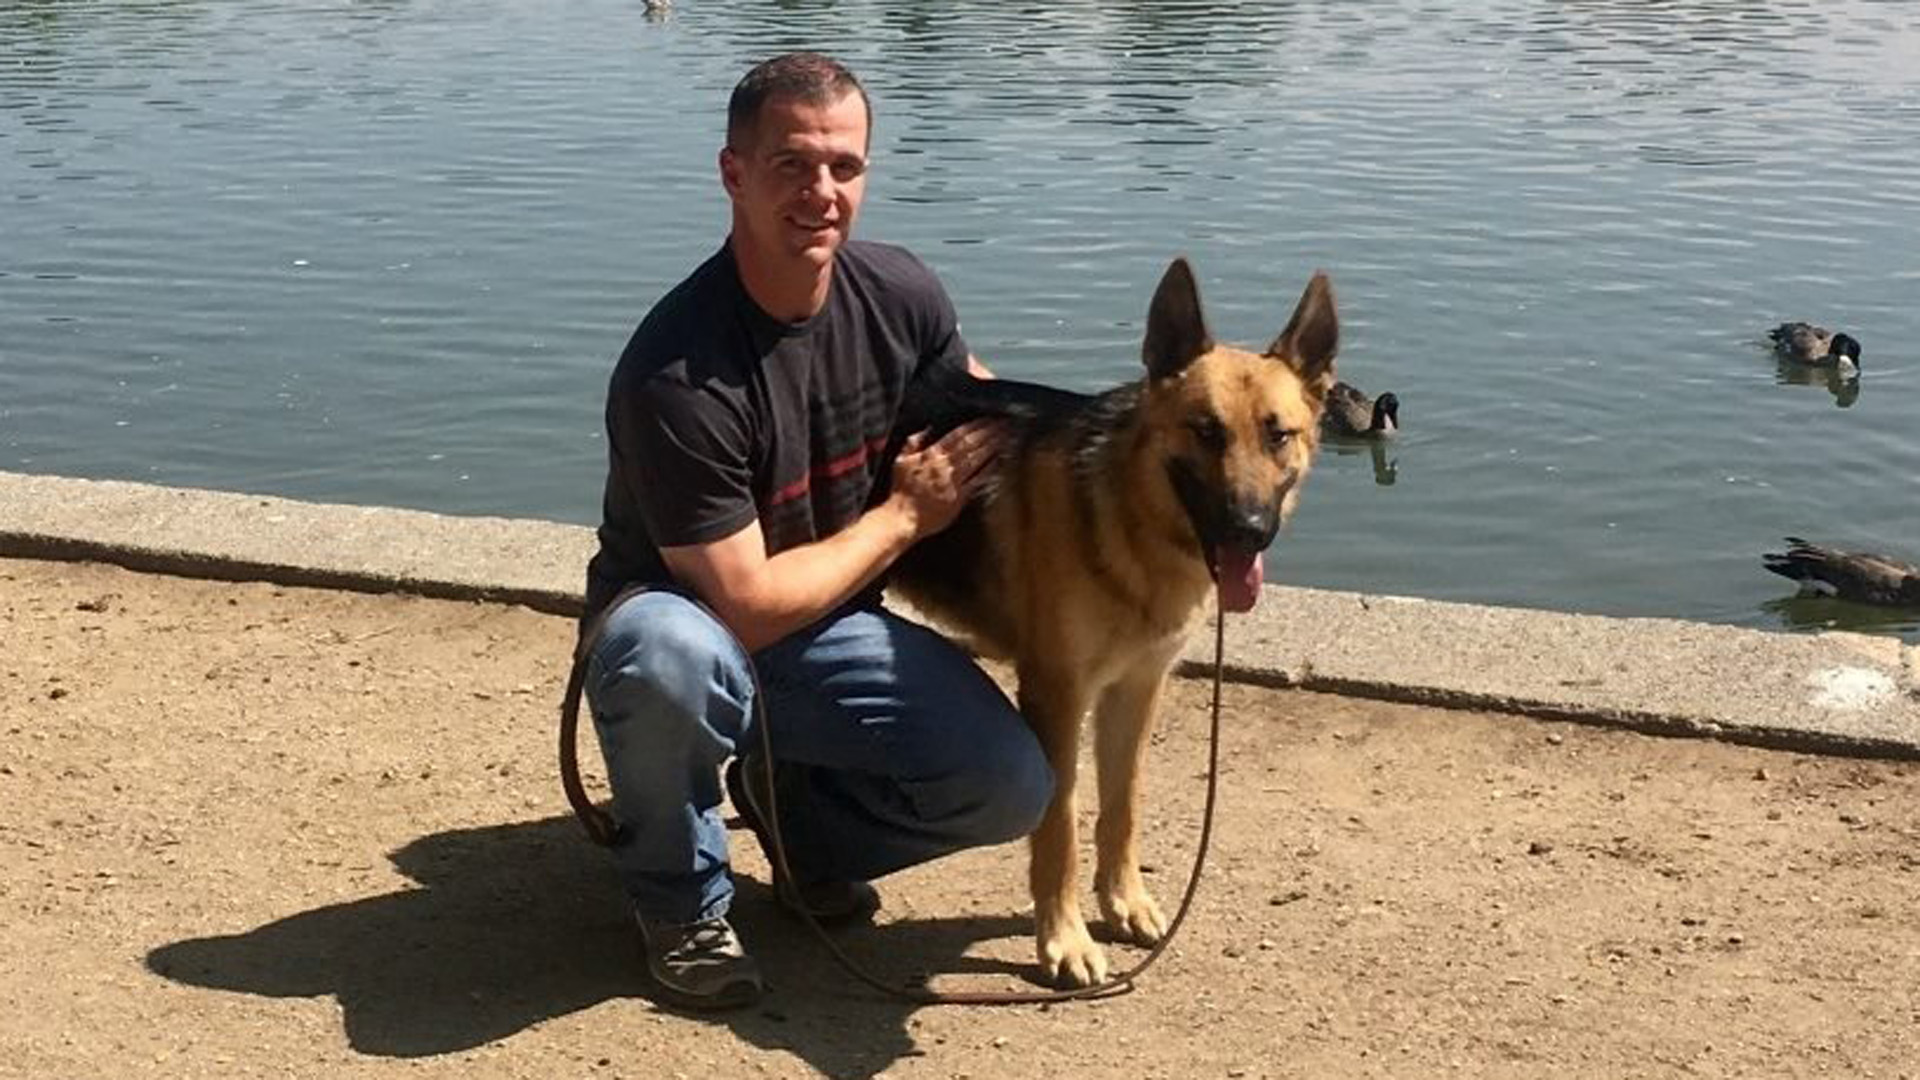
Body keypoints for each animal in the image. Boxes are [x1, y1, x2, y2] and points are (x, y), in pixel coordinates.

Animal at [883, 255, 1336, 980]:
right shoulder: (1057, 698)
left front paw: (1124, 904)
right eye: (1205, 431)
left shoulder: (1136, 690)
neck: (1128, 519)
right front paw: (1064, 939)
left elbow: (1122, 805)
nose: (1249, 529)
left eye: (1277, 435)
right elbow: (1061, 822)